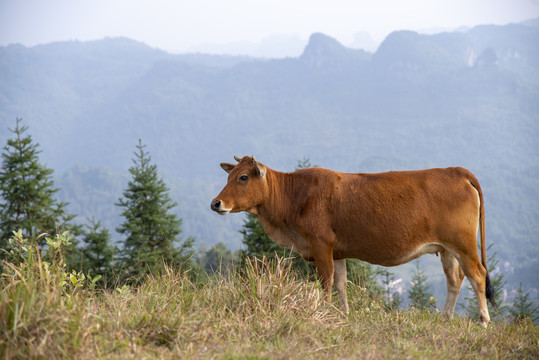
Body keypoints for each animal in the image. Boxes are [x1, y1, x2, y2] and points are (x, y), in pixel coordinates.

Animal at [211, 155, 498, 326]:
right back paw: (446, 318)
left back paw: (483, 321)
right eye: (229, 176)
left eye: (243, 177)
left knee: (477, 274)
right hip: (447, 248)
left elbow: (326, 282)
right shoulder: (337, 251)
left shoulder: (321, 244)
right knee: (455, 279)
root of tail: (455, 170)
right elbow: (341, 283)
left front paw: (325, 313)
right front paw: (343, 314)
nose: (216, 203)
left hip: (463, 244)